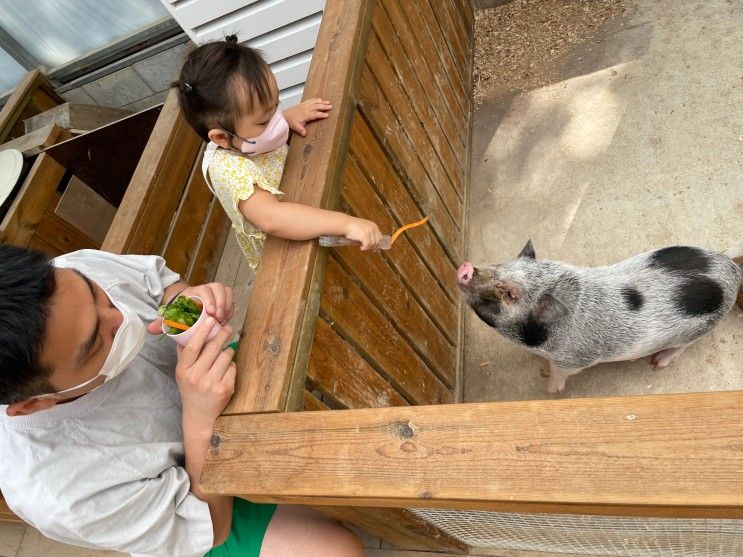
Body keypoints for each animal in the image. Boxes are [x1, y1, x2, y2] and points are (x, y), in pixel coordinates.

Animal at [460, 241, 743, 394]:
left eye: (510, 294)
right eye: (500, 264)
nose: (465, 267)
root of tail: (731, 267)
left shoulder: (573, 361)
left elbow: (558, 374)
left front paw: (550, 390)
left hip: (699, 329)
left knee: (684, 346)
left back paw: (658, 363)